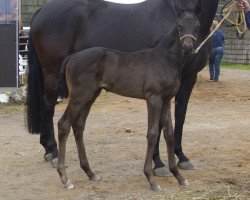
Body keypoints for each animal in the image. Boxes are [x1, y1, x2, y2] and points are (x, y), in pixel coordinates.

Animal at [57, 1, 201, 192]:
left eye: (197, 26)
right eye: (179, 26)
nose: (187, 48)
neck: (165, 60)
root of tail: (72, 57)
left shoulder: (167, 100)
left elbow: (169, 134)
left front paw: (179, 177)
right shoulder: (153, 99)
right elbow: (152, 134)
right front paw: (151, 179)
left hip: (92, 95)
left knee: (78, 126)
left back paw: (90, 172)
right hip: (79, 95)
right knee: (64, 124)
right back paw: (65, 179)